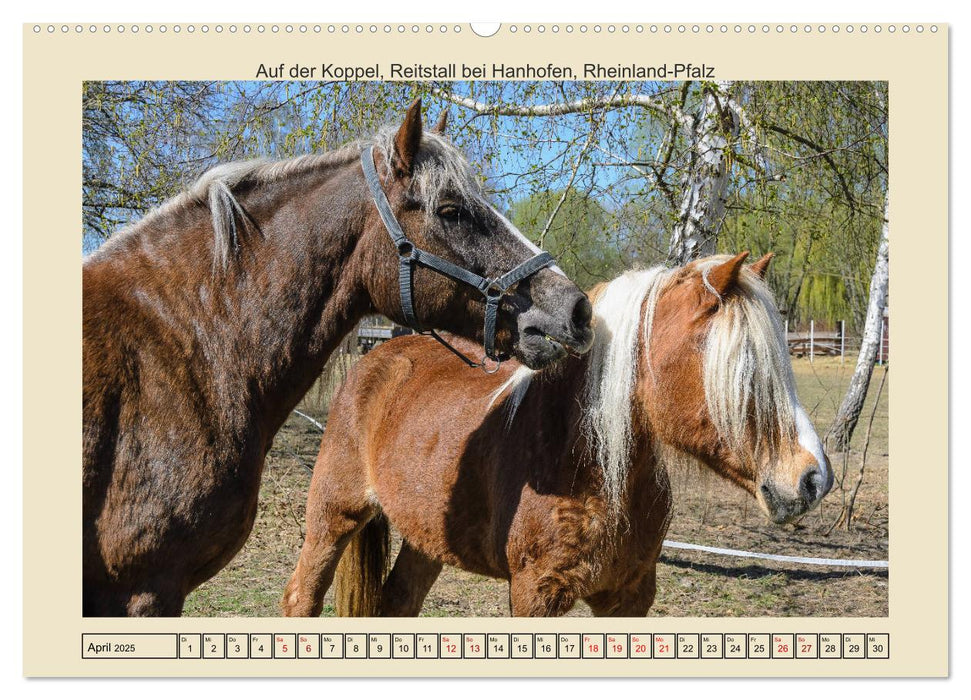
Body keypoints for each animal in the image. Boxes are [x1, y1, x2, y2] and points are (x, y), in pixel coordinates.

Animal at [282, 253, 836, 616]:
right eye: (745, 369)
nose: (814, 479)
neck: (590, 467)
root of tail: (375, 357)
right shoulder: (535, 595)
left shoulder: (629, 598)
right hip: (333, 515)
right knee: (301, 597)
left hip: (425, 540)